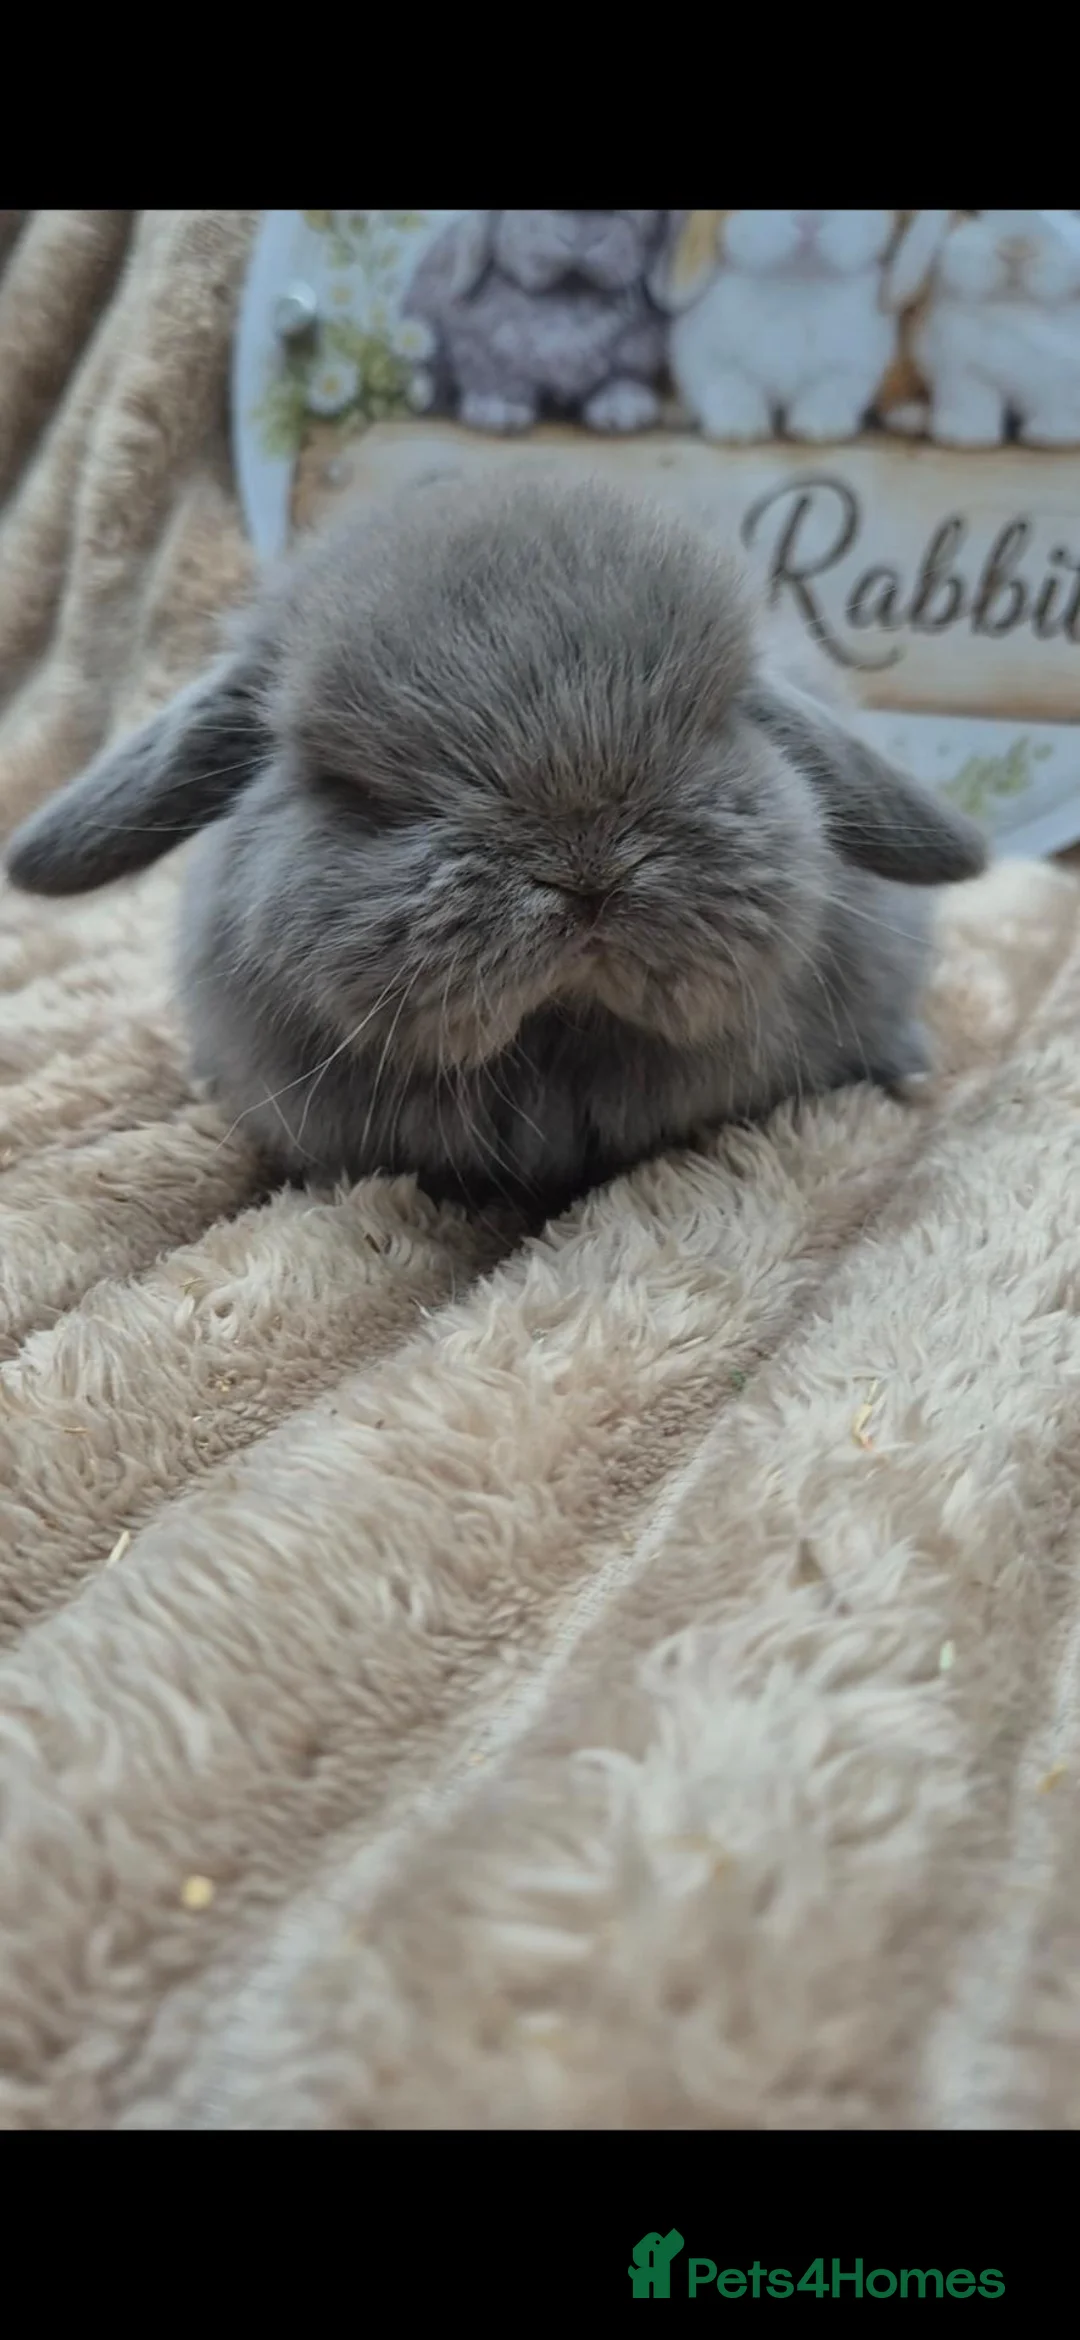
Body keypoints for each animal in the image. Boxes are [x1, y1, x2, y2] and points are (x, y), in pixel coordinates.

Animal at [401, 209, 669, 436]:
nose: (580, 236)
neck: (567, 294)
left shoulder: (633, 354)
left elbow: (622, 379)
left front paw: (622, 412)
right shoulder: (481, 351)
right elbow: (495, 379)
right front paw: (500, 413)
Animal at [649, 209, 911, 443]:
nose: (809, 221)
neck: (795, 283)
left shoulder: (857, 364)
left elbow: (831, 390)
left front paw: (818, 427)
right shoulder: (703, 355)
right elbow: (730, 384)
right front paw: (740, 428)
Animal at [879, 209, 1080, 447]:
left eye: (1073, 213)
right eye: (971, 212)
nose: (1016, 249)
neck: (1014, 307)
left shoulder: (1061, 376)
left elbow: (1058, 405)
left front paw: (1056, 435)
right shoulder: (961, 371)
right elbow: (972, 403)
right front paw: (966, 435)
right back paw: (912, 417)